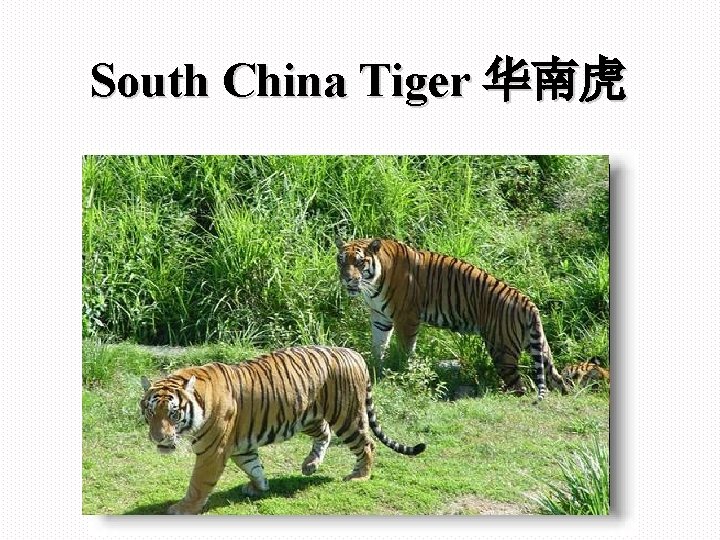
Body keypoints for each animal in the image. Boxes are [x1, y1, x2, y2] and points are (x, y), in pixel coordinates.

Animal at [139, 345, 426, 515]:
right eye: (151, 412)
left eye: (173, 414)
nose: (158, 438)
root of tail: (354, 353)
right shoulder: (239, 446)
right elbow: (253, 466)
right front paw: (259, 487)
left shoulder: (212, 451)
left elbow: (199, 483)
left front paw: (183, 508)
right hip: (309, 417)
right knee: (324, 433)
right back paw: (310, 465)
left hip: (347, 417)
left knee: (367, 443)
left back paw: (359, 476)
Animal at [335, 236, 569, 402]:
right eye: (341, 261)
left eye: (359, 262)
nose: (346, 279)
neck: (373, 284)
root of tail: (527, 302)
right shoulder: (380, 318)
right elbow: (378, 345)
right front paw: (377, 367)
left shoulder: (406, 317)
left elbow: (404, 350)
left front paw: (401, 370)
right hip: (539, 346)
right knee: (557, 379)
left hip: (502, 349)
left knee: (519, 386)